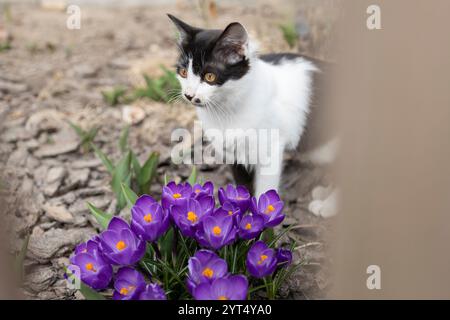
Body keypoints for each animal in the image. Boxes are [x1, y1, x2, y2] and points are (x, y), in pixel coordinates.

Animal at [169, 13, 338, 216]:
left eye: (209, 76)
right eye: (183, 72)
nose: (188, 95)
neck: (227, 110)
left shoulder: (271, 149)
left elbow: (265, 190)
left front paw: (262, 221)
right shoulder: (232, 153)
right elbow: (242, 187)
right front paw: (239, 218)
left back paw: (328, 205)